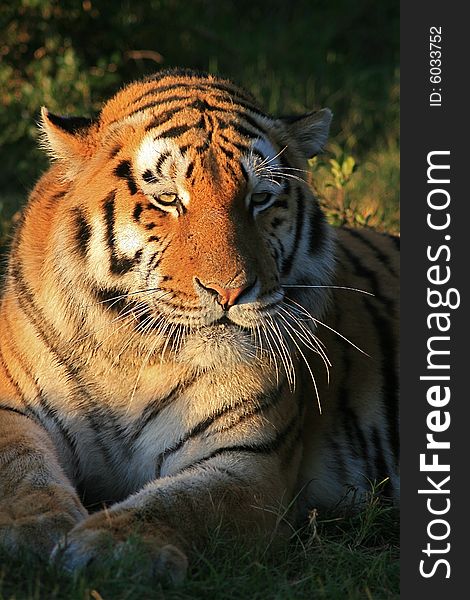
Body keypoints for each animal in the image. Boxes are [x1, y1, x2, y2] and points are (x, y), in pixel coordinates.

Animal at [0, 68, 396, 580]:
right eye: (168, 199)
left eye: (260, 199)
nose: (229, 292)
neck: (132, 353)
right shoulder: (12, 411)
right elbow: (19, 470)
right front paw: (33, 531)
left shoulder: (249, 462)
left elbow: (180, 503)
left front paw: (109, 547)